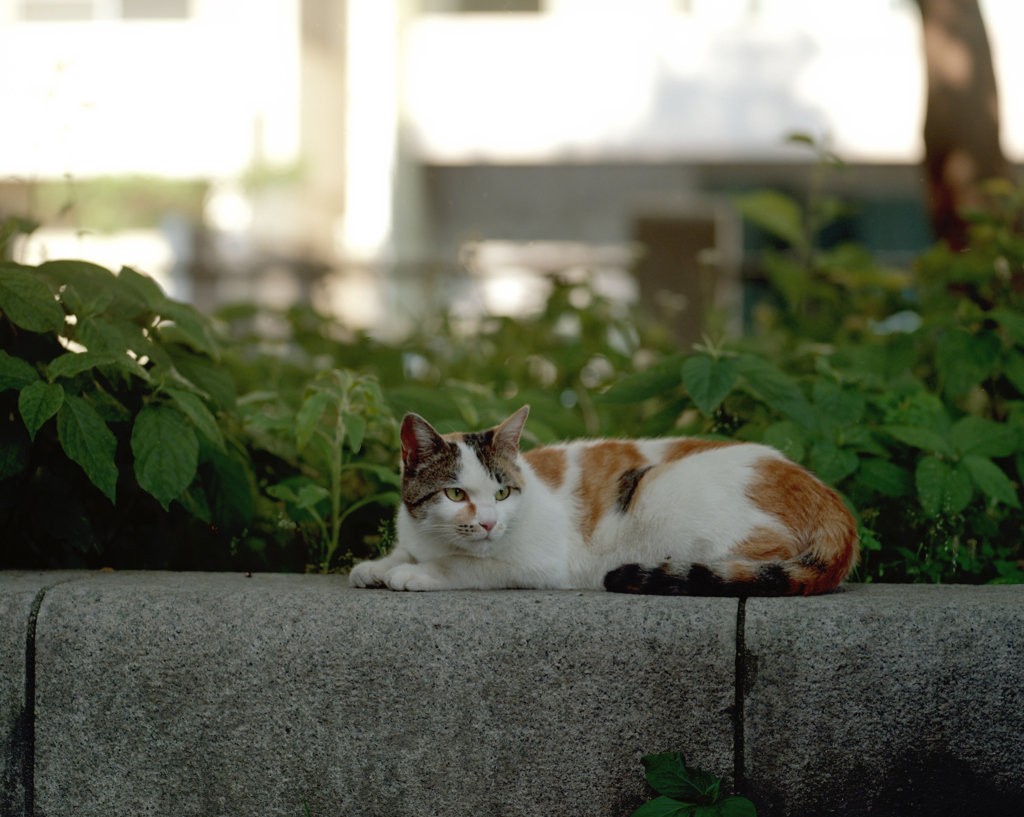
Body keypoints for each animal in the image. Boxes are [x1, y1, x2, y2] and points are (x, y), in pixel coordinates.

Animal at [348, 405, 860, 597]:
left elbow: (469, 566)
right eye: (455, 493)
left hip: (664, 499)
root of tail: (829, 498)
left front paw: (416, 572)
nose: (491, 522)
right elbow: (401, 550)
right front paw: (377, 565)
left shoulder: (541, 563)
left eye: (502, 492)